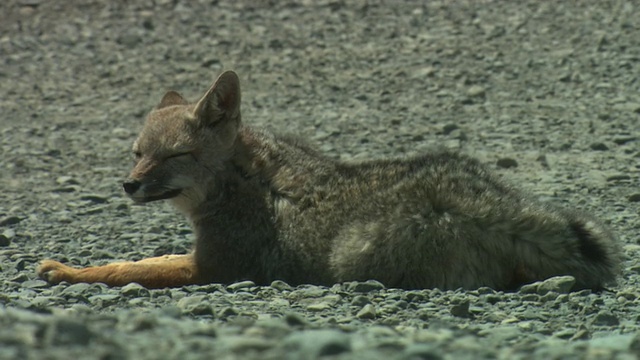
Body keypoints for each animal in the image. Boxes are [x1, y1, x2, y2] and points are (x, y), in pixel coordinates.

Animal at [37, 71, 624, 292]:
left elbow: (130, 267)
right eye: (138, 155)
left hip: (351, 257)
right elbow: (140, 260)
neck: (244, 178)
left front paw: (69, 270)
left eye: (175, 156)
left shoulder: (215, 268)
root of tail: (494, 201)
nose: (129, 186)